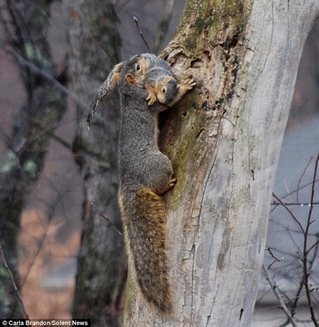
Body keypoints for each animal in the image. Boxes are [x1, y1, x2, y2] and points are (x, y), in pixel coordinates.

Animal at [89, 53, 196, 316]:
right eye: (137, 67)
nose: (138, 56)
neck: (129, 90)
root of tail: (129, 183)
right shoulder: (147, 102)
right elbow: (164, 104)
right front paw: (185, 86)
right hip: (159, 164)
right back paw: (169, 183)